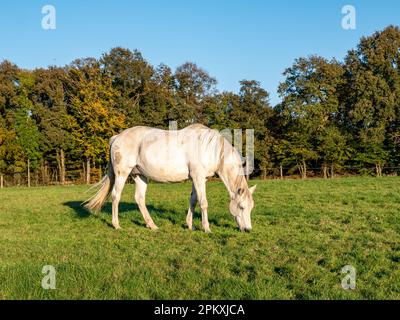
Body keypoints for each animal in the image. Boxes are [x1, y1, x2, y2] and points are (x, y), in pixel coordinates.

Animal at [85, 123, 256, 232]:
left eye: (251, 207)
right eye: (241, 207)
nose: (248, 229)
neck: (211, 148)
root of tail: (117, 137)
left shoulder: (198, 179)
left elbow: (193, 200)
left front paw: (190, 225)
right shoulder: (198, 177)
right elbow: (203, 202)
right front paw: (206, 228)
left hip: (140, 176)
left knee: (139, 199)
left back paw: (152, 225)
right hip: (122, 173)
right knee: (116, 196)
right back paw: (116, 225)